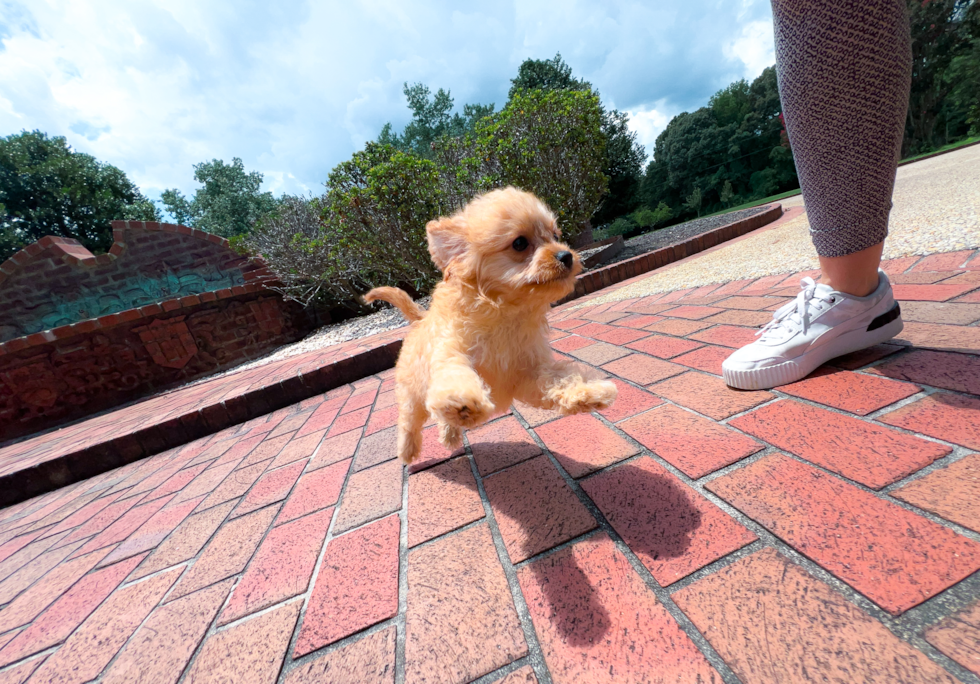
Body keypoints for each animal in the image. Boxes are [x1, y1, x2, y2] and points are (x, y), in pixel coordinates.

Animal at [364, 187, 616, 464]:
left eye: (555, 236)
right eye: (520, 243)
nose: (566, 255)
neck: (505, 313)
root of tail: (420, 320)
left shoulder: (529, 371)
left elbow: (559, 379)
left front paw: (590, 391)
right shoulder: (451, 352)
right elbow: (454, 375)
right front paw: (461, 401)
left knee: (440, 420)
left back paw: (450, 434)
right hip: (411, 392)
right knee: (409, 421)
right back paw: (408, 451)